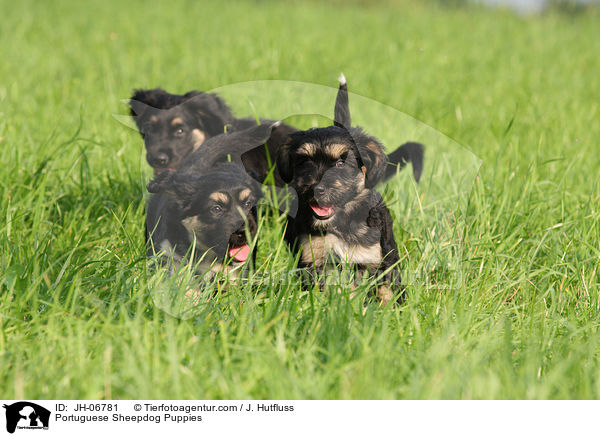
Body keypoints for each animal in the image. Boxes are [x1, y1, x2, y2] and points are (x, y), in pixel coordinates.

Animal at [276, 74, 422, 304]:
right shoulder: (314, 259)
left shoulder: (372, 259)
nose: (316, 189)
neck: (340, 224)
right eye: (305, 161)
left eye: (340, 163)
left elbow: (381, 290)